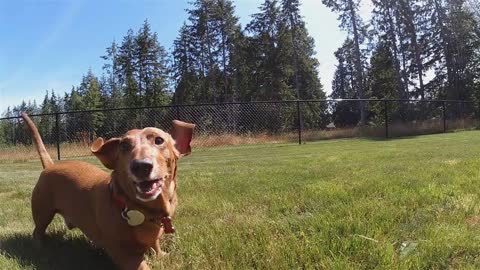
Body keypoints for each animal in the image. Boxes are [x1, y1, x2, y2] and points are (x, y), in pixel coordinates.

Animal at [22, 112, 195, 270]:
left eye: (159, 140)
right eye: (124, 146)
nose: (140, 166)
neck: (143, 210)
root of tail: (50, 166)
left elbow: (156, 245)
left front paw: (161, 255)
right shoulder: (122, 252)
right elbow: (141, 265)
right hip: (43, 213)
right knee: (37, 231)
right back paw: (39, 247)